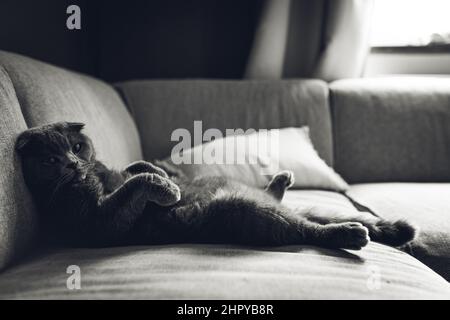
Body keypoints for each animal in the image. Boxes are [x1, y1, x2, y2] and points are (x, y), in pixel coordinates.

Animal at [15, 121, 416, 249]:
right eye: (50, 160)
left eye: (76, 147)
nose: (73, 164)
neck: (96, 175)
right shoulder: (97, 221)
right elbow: (136, 185)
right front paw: (165, 189)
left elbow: (141, 172)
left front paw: (148, 171)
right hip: (244, 212)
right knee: (307, 231)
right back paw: (350, 234)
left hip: (281, 206)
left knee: (326, 219)